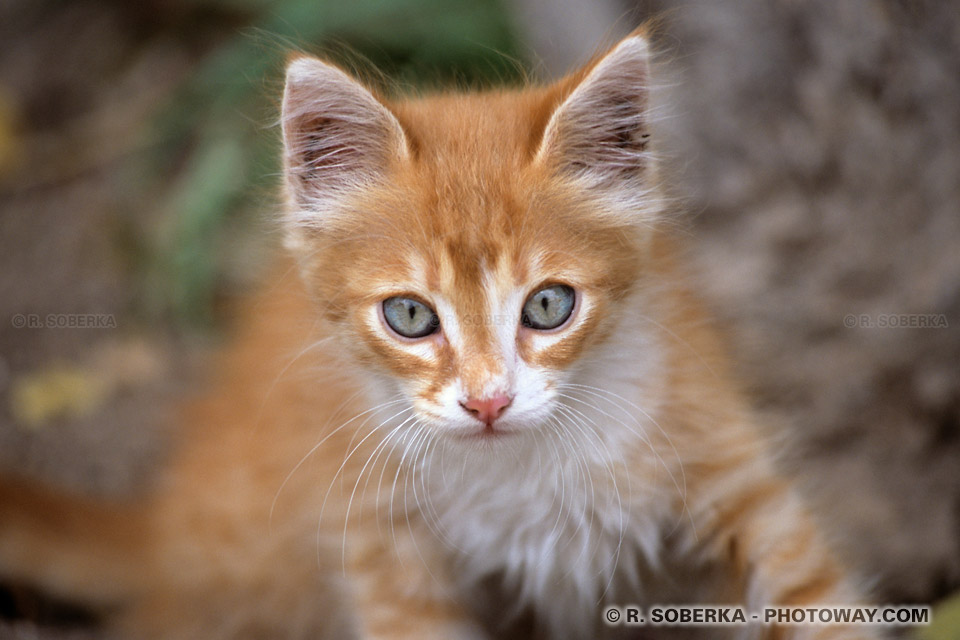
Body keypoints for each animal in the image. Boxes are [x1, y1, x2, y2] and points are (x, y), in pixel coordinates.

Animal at [1, 28, 884, 640]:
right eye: (411, 316)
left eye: (549, 306)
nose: (488, 402)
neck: (526, 471)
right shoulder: (379, 544)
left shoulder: (734, 472)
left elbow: (817, 600)